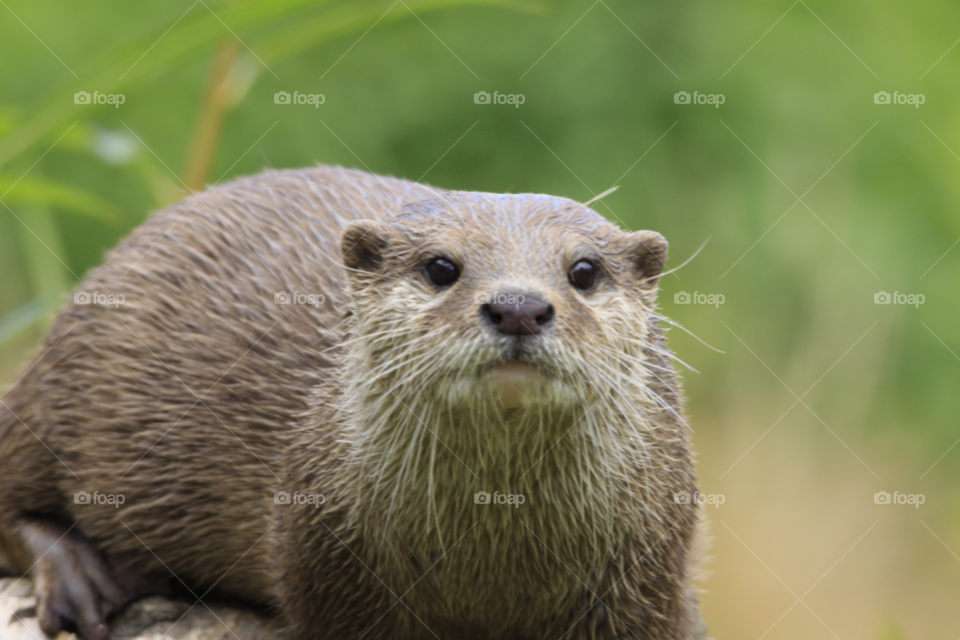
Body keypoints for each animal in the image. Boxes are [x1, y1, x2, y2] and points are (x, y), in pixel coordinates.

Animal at [0, 166, 707, 640]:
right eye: (441, 267)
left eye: (584, 271)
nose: (518, 306)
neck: (493, 559)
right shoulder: (325, 560)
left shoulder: (650, 578)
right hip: (64, 376)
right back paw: (77, 576)